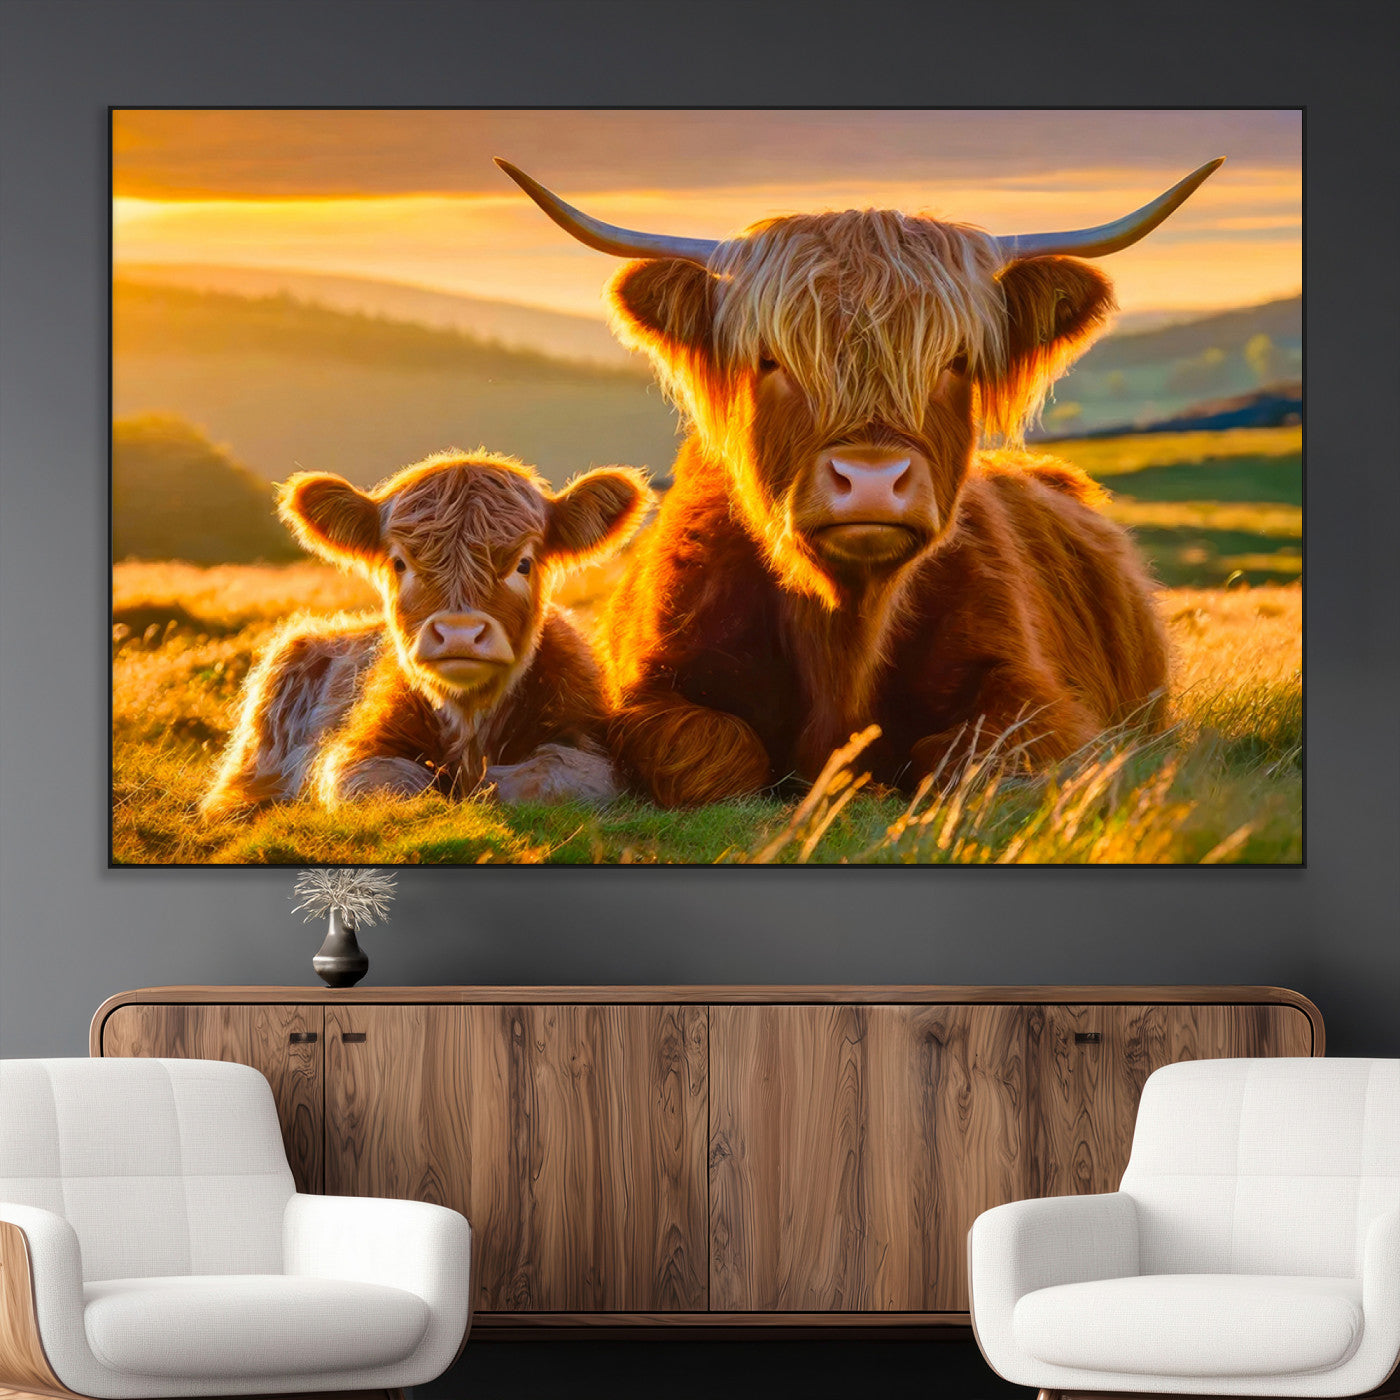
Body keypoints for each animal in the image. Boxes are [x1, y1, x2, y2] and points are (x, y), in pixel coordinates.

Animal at [200, 450, 652, 817]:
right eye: (400, 563)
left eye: (523, 563)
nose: (459, 635)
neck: (470, 724)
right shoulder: (354, 752)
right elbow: (387, 786)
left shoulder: (589, 746)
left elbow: (542, 779)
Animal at [496, 158, 1222, 807]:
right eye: (771, 359)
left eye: (956, 359)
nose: (871, 480)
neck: (844, 632)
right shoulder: (648, 693)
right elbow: (715, 753)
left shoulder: (1041, 701)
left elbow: (959, 758)